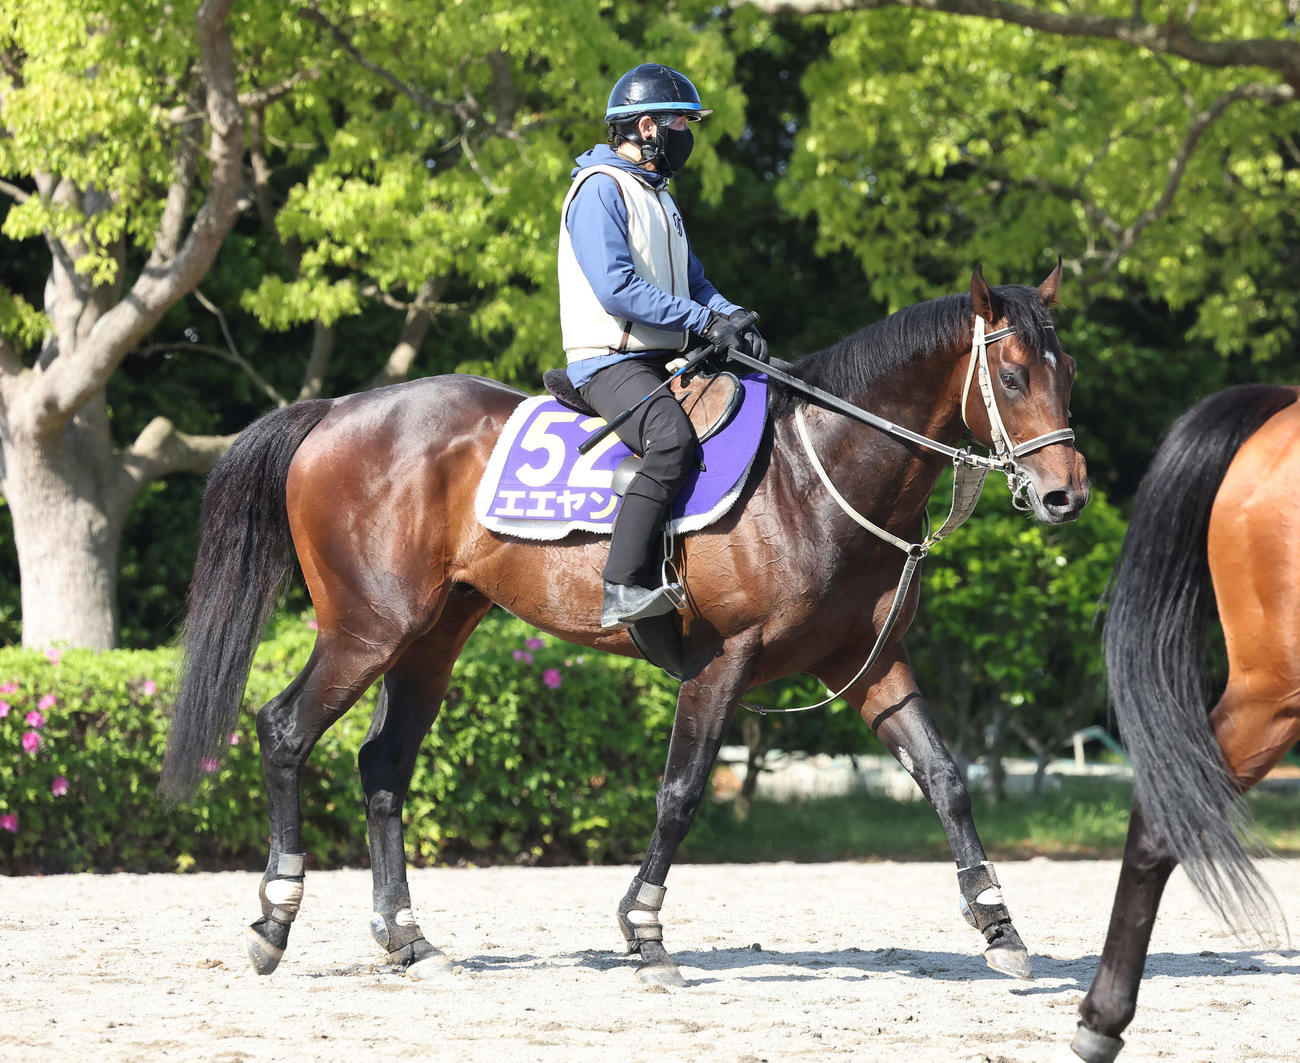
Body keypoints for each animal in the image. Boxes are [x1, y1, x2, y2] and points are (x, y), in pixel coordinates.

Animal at [160, 263, 1088, 986]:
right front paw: (645, 930)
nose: (1065, 495)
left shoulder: (868, 661)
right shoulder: (724, 661)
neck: (812, 472)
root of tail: (336, 409)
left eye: (1067, 369)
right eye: (1011, 377)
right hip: (365, 630)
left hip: (430, 639)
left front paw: (999, 923)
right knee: (283, 730)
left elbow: (945, 776)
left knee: (383, 766)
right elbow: (680, 793)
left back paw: (407, 939)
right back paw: (274, 918)